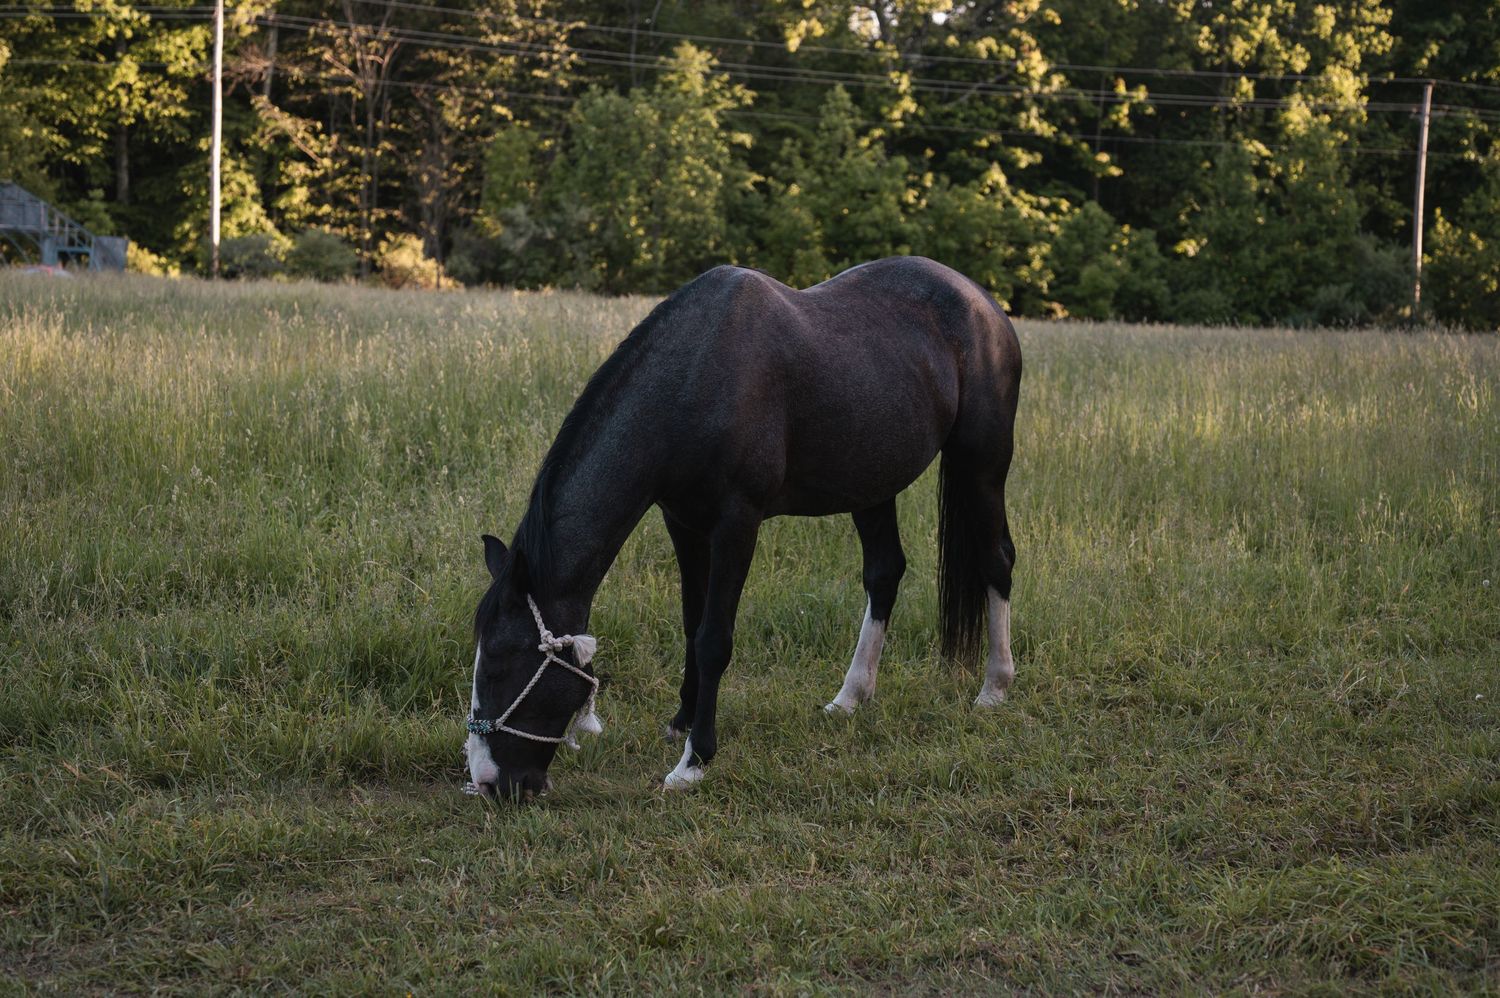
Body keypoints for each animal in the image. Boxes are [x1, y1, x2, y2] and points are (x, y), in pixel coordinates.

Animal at [465, 256, 1021, 800]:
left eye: (499, 663)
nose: (488, 782)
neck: (694, 379)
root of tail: (984, 303)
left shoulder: (737, 522)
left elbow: (714, 639)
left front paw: (693, 760)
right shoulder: (682, 522)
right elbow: (691, 625)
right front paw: (681, 720)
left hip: (982, 464)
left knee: (996, 561)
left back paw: (995, 687)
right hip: (872, 484)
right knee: (885, 574)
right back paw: (849, 698)